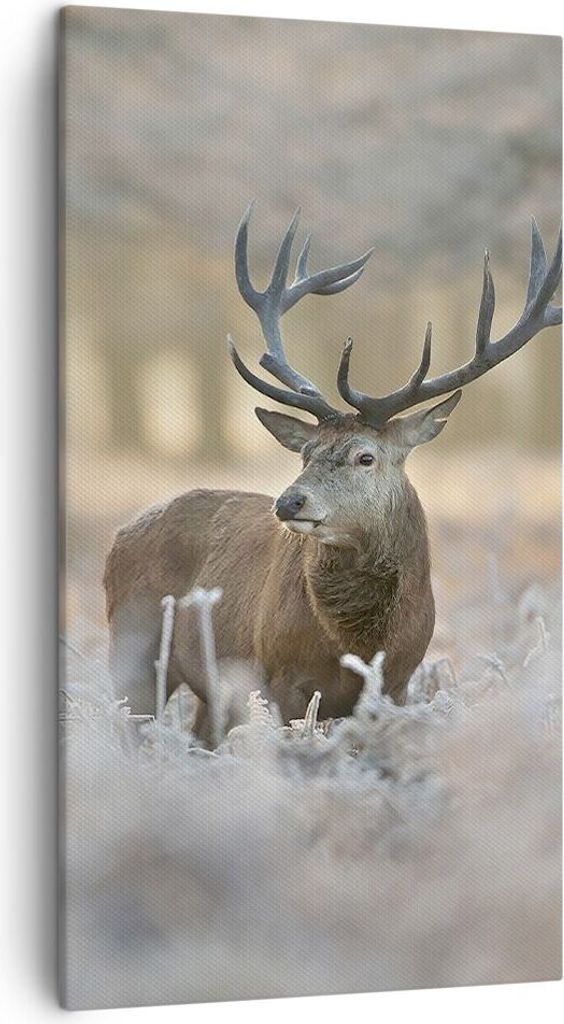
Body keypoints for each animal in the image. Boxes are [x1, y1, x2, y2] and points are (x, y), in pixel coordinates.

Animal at [104, 206, 562, 744]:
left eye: (366, 457)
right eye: (306, 453)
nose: (289, 502)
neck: (356, 642)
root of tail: (120, 535)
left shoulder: (397, 684)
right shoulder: (278, 678)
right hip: (132, 650)